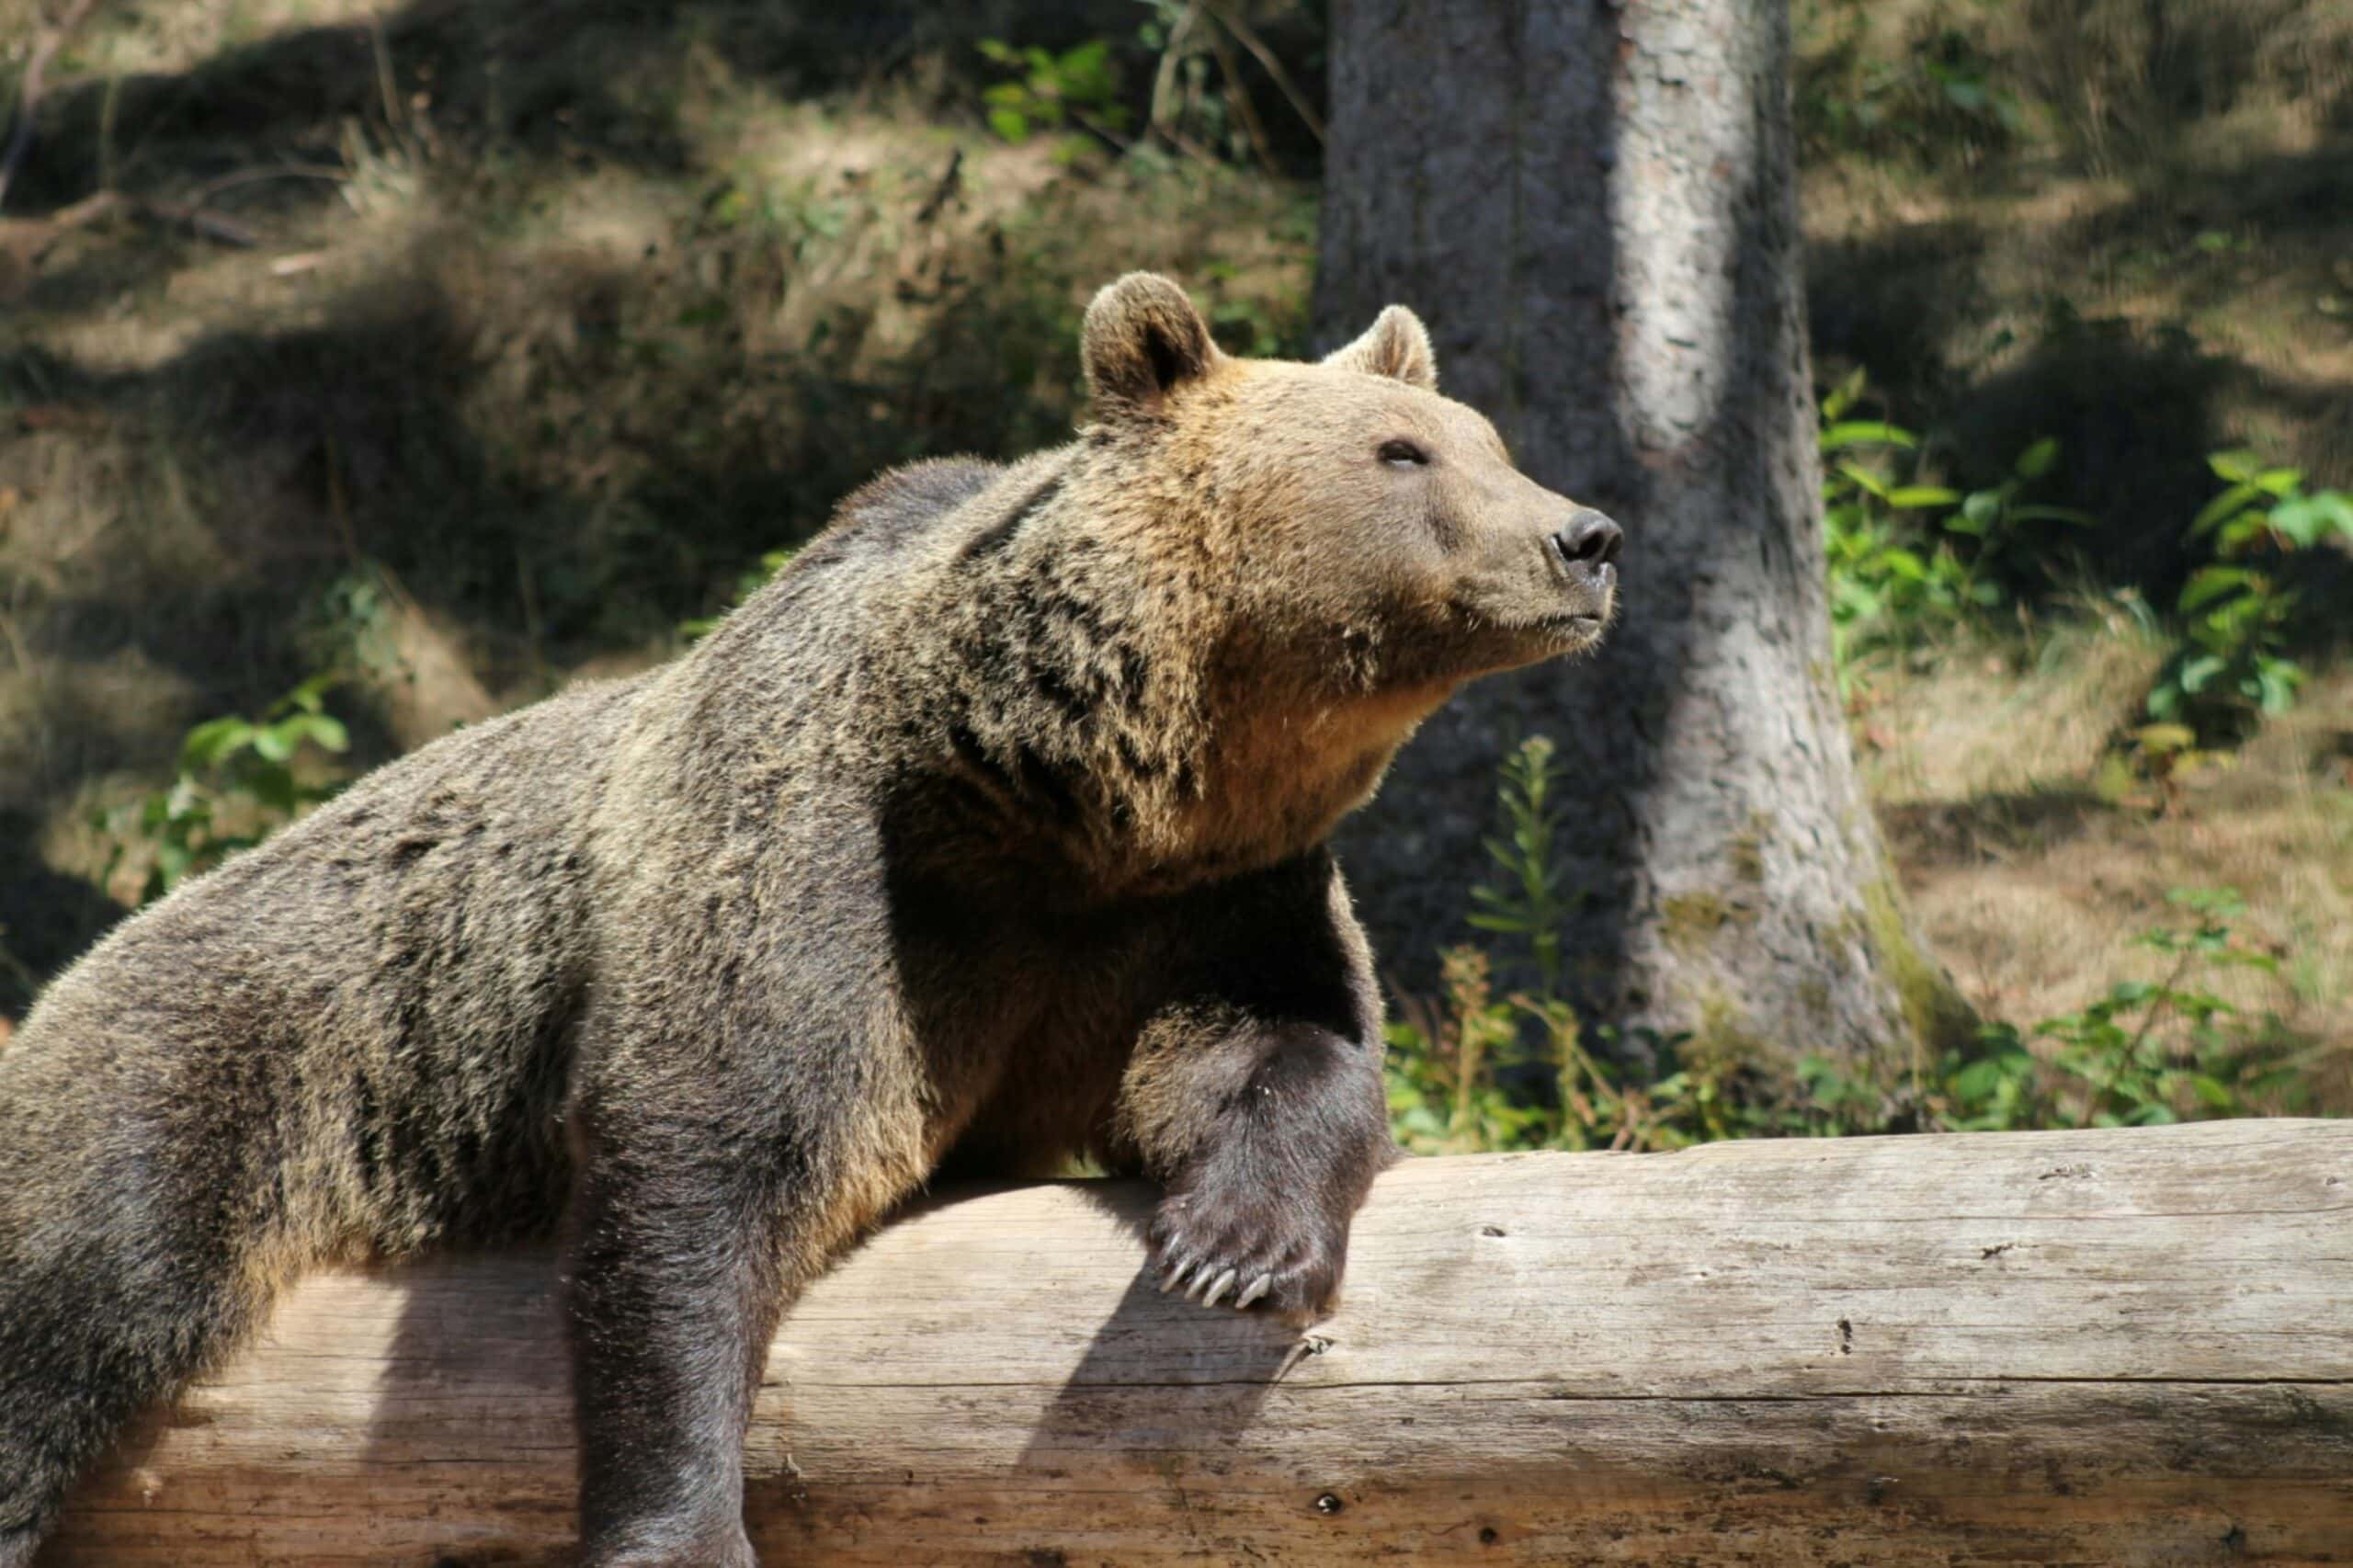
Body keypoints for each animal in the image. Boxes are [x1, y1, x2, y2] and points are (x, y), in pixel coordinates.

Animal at [0, 274, 1619, 1553]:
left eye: (1488, 441)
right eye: (1404, 450)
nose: (1586, 534)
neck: (1067, 792)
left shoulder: (1200, 901)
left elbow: (1280, 1045)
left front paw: (1237, 1245)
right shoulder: (835, 871)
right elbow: (709, 1158)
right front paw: (681, 1521)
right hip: (241, 1042)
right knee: (86, 1277)